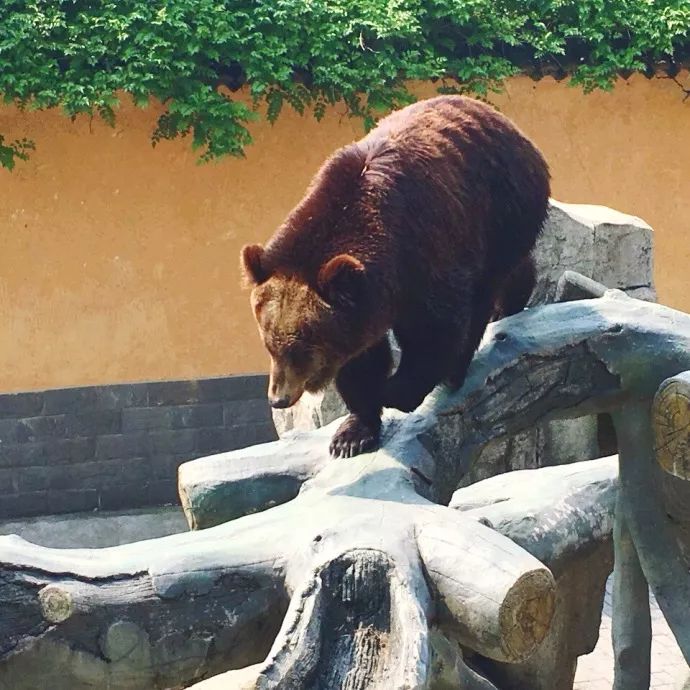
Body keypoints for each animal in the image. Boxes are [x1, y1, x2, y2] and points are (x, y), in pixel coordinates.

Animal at [241, 92, 548, 456]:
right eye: (269, 344)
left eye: (300, 346)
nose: (278, 398)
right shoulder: (363, 302)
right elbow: (361, 358)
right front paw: (353, 433)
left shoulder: (426, 254)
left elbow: (435, 329)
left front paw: (397, 391)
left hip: (501, 214)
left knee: (485, 293)